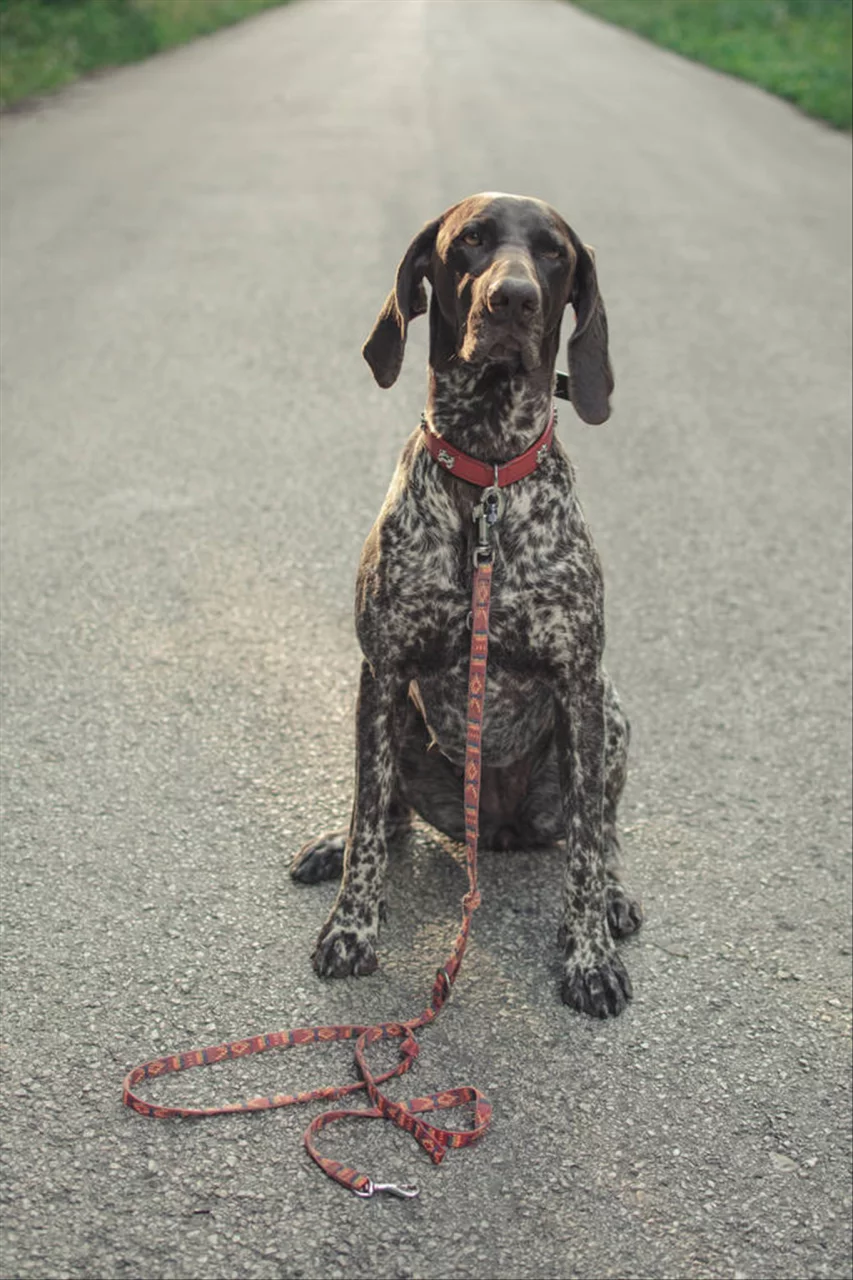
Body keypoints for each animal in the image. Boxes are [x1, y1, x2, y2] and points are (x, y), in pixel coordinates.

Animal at [290, 189, 637, 1013]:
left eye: (553, 253)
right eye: (470, 241)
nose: (512, 298)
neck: (486, 475)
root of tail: (498, 830)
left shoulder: (581, 684)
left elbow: (584, 851)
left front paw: (588, 955)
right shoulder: (381, 672)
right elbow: (366, 819)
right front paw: (351, 927)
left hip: (613, 717)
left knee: (600, 831)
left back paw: (612, 895)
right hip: (399, 726)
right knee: (385, 818)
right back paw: (335, 848)